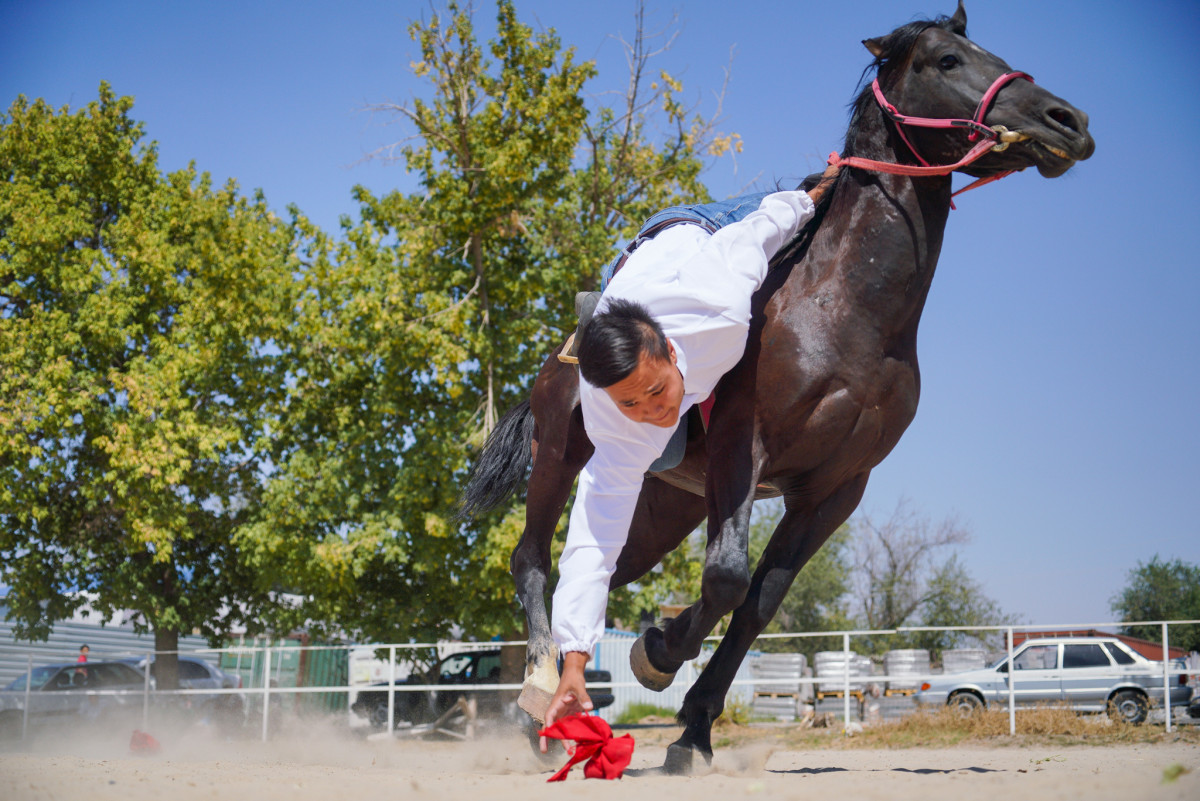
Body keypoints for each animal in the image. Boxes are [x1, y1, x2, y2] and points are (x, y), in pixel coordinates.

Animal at [456, 1, 1089, 777]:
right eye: (947, 60)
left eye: (990, 52)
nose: (1066, 120)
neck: (842, 313)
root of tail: (563, 351)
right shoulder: (743, 449)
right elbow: (726, 579)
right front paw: (658, 653)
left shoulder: (835, 488)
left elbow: (761, 600)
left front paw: (693, 730)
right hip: (561, 455)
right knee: (533, 560)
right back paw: (538, 700)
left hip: (665, 503)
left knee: (608, 569)